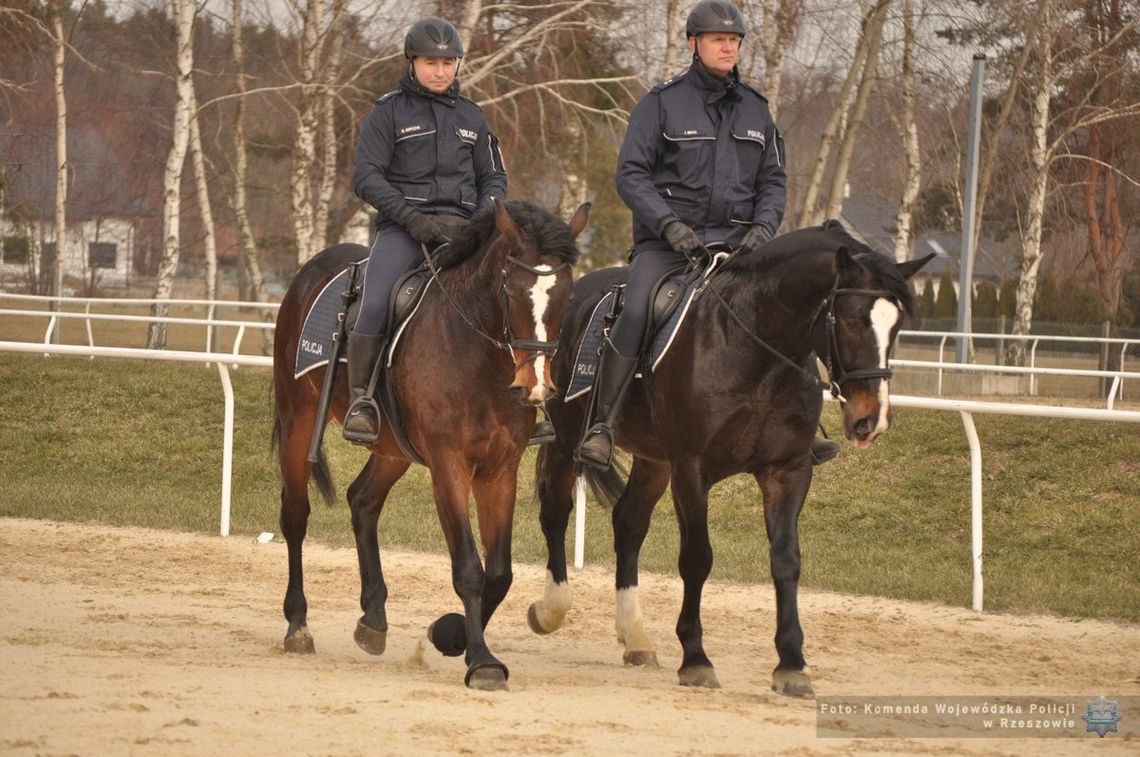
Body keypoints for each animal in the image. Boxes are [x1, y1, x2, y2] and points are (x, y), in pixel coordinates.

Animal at [267, 198, 588, 688]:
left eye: (567, 296)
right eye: (512, 289)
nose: (534, 385)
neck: (478, 358)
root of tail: (309, 272)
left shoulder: (500, 469)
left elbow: (499, 574)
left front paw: (451, 635)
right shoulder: (448, 465)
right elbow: (470, 568)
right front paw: (481, 660)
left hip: (391, 449)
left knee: (362, 501)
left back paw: (373, 619)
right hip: (298, 419)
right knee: (295, 516)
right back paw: (298, 625)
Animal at [528, 223, 930, 697]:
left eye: (897, 325)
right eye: (850, 319)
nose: (872, 420)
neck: (753, 347)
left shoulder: (787, 471)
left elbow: (786, 559)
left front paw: (792, 664)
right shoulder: (691, 469)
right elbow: (697, 558)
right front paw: (696, 659)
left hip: (654, 460)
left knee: (628, 524)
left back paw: (636, 637)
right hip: (569, 437)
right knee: (556, 510)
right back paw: (551, 610)